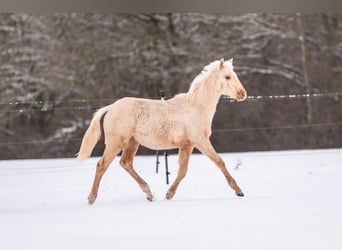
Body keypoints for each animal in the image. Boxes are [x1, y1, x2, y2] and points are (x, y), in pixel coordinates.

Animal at [77, 58, 247, 205]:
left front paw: (169, 194)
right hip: (115, 143)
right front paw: (239, 191)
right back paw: (91, 198)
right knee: (102, 165)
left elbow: (182, 170)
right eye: (227, 76)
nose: (242, 94)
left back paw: (149, 194)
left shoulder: (187, 145)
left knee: (126, 163)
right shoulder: (200, 141)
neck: (196, 107)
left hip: (132, 143)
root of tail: (110, 107)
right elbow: (219, 161)